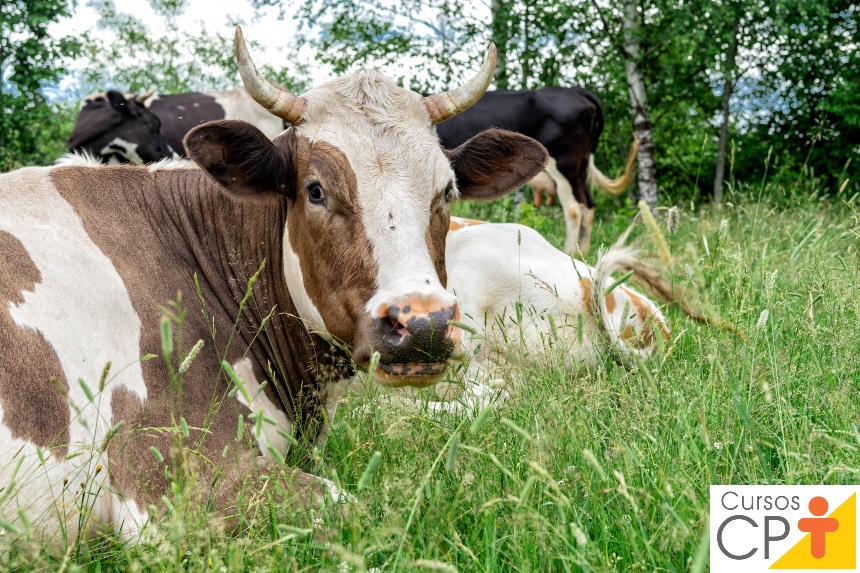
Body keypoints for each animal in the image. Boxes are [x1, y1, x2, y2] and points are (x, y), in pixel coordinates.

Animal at [436, 87, 640, 255]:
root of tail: (576, 90)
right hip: (581, 166)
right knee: (588, 203)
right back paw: (581, 251)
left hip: (564, 163)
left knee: (574, 207)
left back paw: (569, 251)